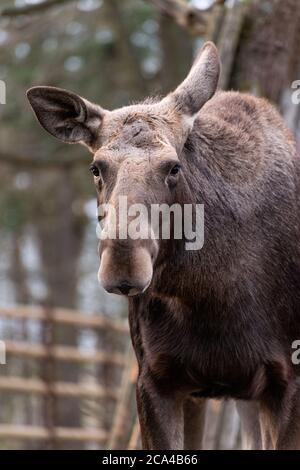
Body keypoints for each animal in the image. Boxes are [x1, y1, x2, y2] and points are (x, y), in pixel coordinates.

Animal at [27, 42, 300, 450]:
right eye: (96, 167)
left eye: (173, 167)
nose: (123, 265)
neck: (211, 296)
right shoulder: (158, 379)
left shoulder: (287, 381)